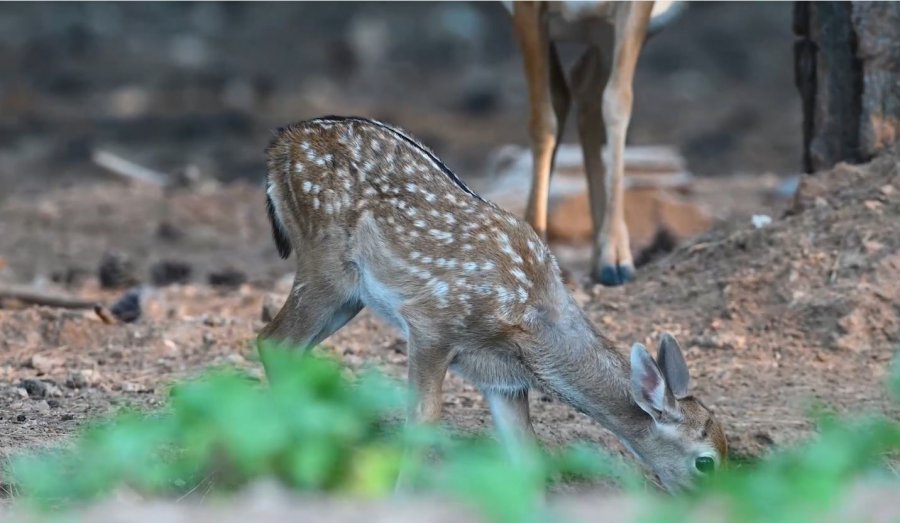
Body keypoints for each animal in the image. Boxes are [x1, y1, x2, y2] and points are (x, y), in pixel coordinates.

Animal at [258, 115, 724, 492]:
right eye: (706, 462)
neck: (530, 323)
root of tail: (281, 142)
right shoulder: (431, 326)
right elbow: (423, 423)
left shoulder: (502, 380)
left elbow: (527, 460)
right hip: (326, 266)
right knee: (274, 340)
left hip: (351, 296)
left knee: (284, 346)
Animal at [506, 1, 684, 286]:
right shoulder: (525, 9)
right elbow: (542, 119)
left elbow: (617, 103)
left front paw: (617, 259)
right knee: (564, 93)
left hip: (609, 32)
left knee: (586, 89)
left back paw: (601, 261)